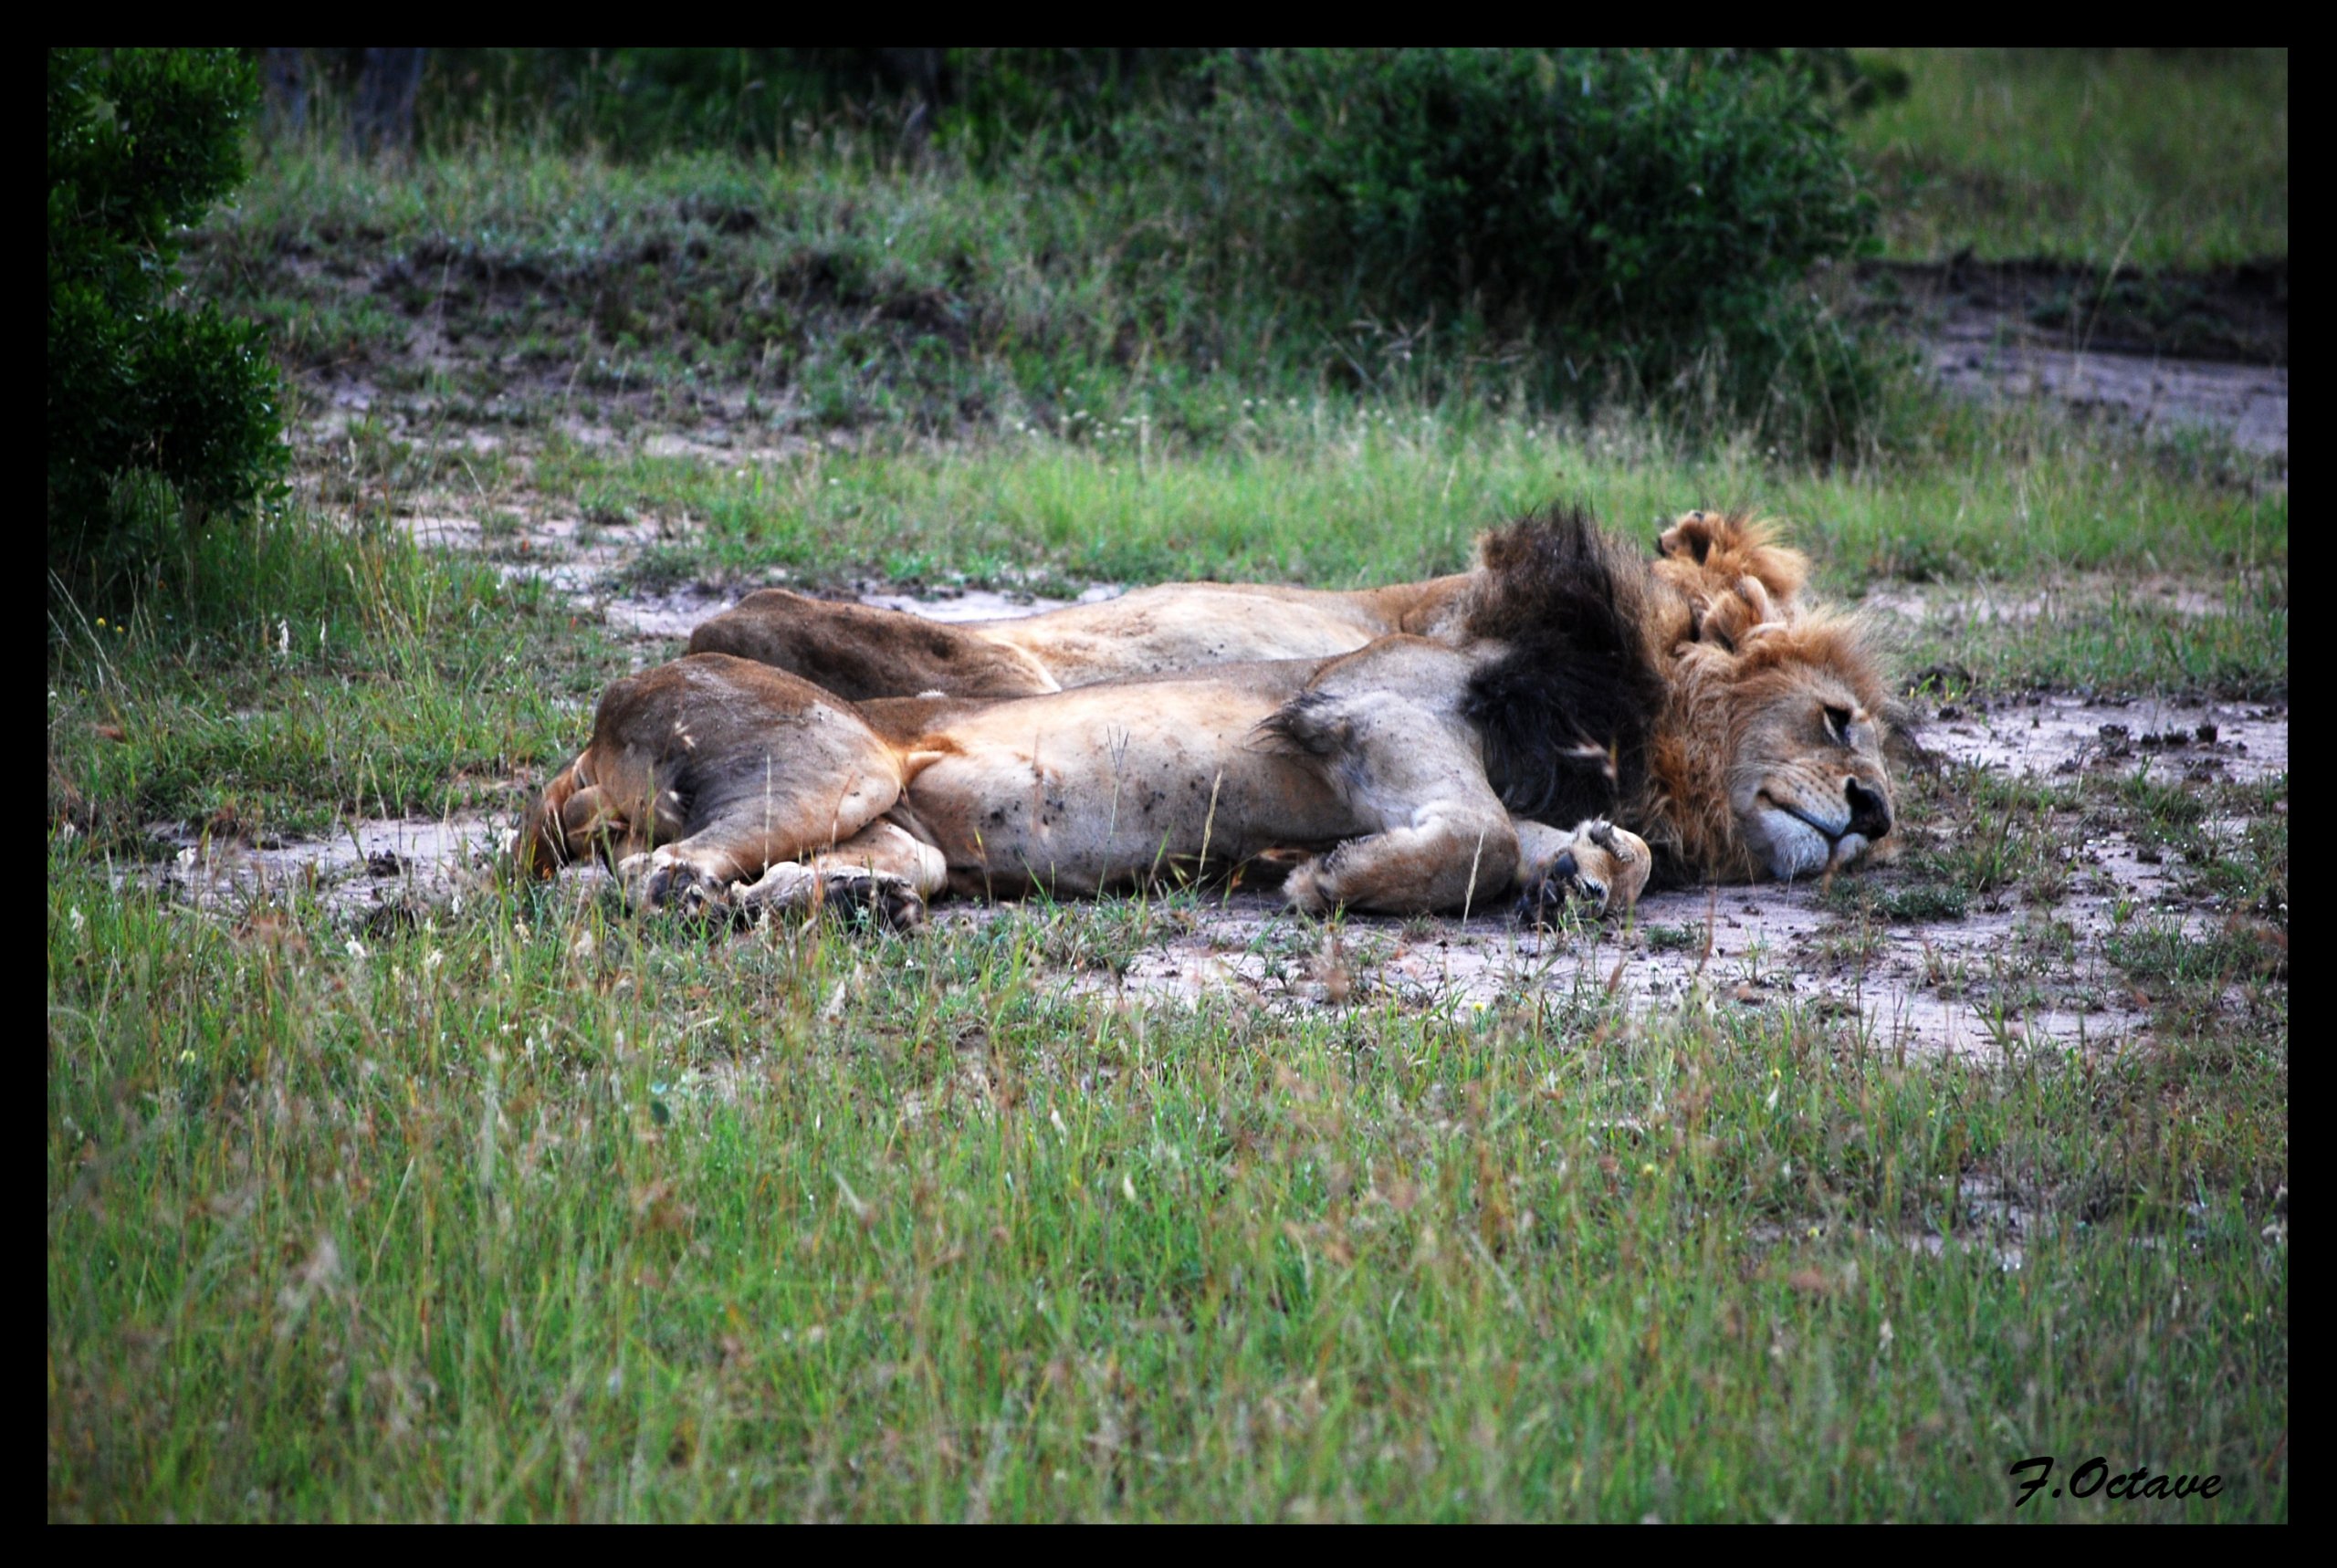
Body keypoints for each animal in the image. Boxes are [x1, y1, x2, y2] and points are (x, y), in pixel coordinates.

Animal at [520, 509, 1888, 925]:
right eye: (1838, 722)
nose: (1875, 811)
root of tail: (584, 740)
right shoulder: (1359, 705)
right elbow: (1478, 832)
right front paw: (1336, 879)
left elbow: (1581, 845)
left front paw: (1589, 871)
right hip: (835, 747)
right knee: (646, 874)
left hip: (893, 820)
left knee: (810, 870)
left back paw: (853, 902)